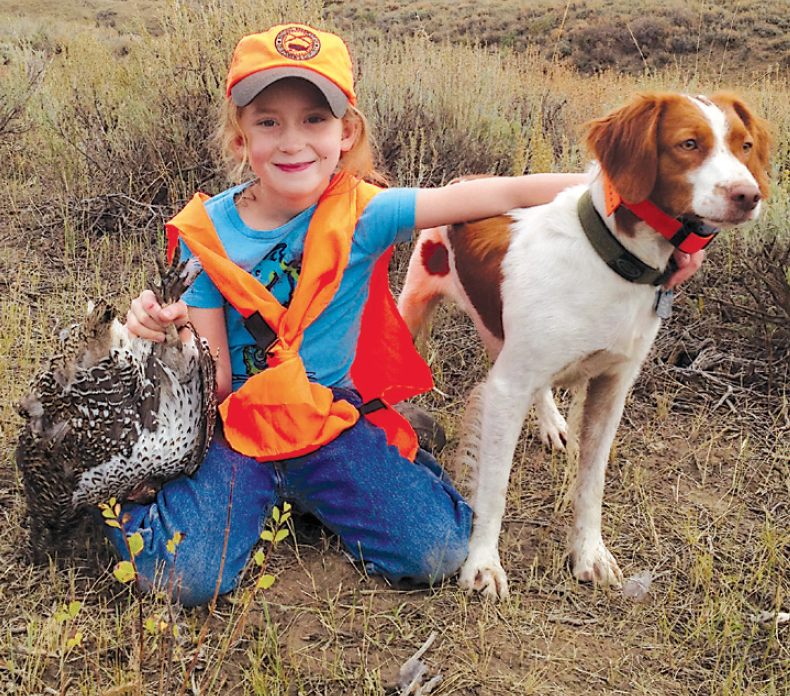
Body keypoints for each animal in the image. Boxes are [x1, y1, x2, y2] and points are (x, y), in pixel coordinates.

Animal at [400, 92, 772, 600]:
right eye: (688, 144)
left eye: (744, 145)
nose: (748, 195)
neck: (613, 262)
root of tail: (465, 180)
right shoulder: (507, 389)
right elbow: (493, 485)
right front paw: (483, 564)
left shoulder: (610, 386)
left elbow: (591, 483)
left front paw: (589, 554)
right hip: (417, 302)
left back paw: (552, 423)